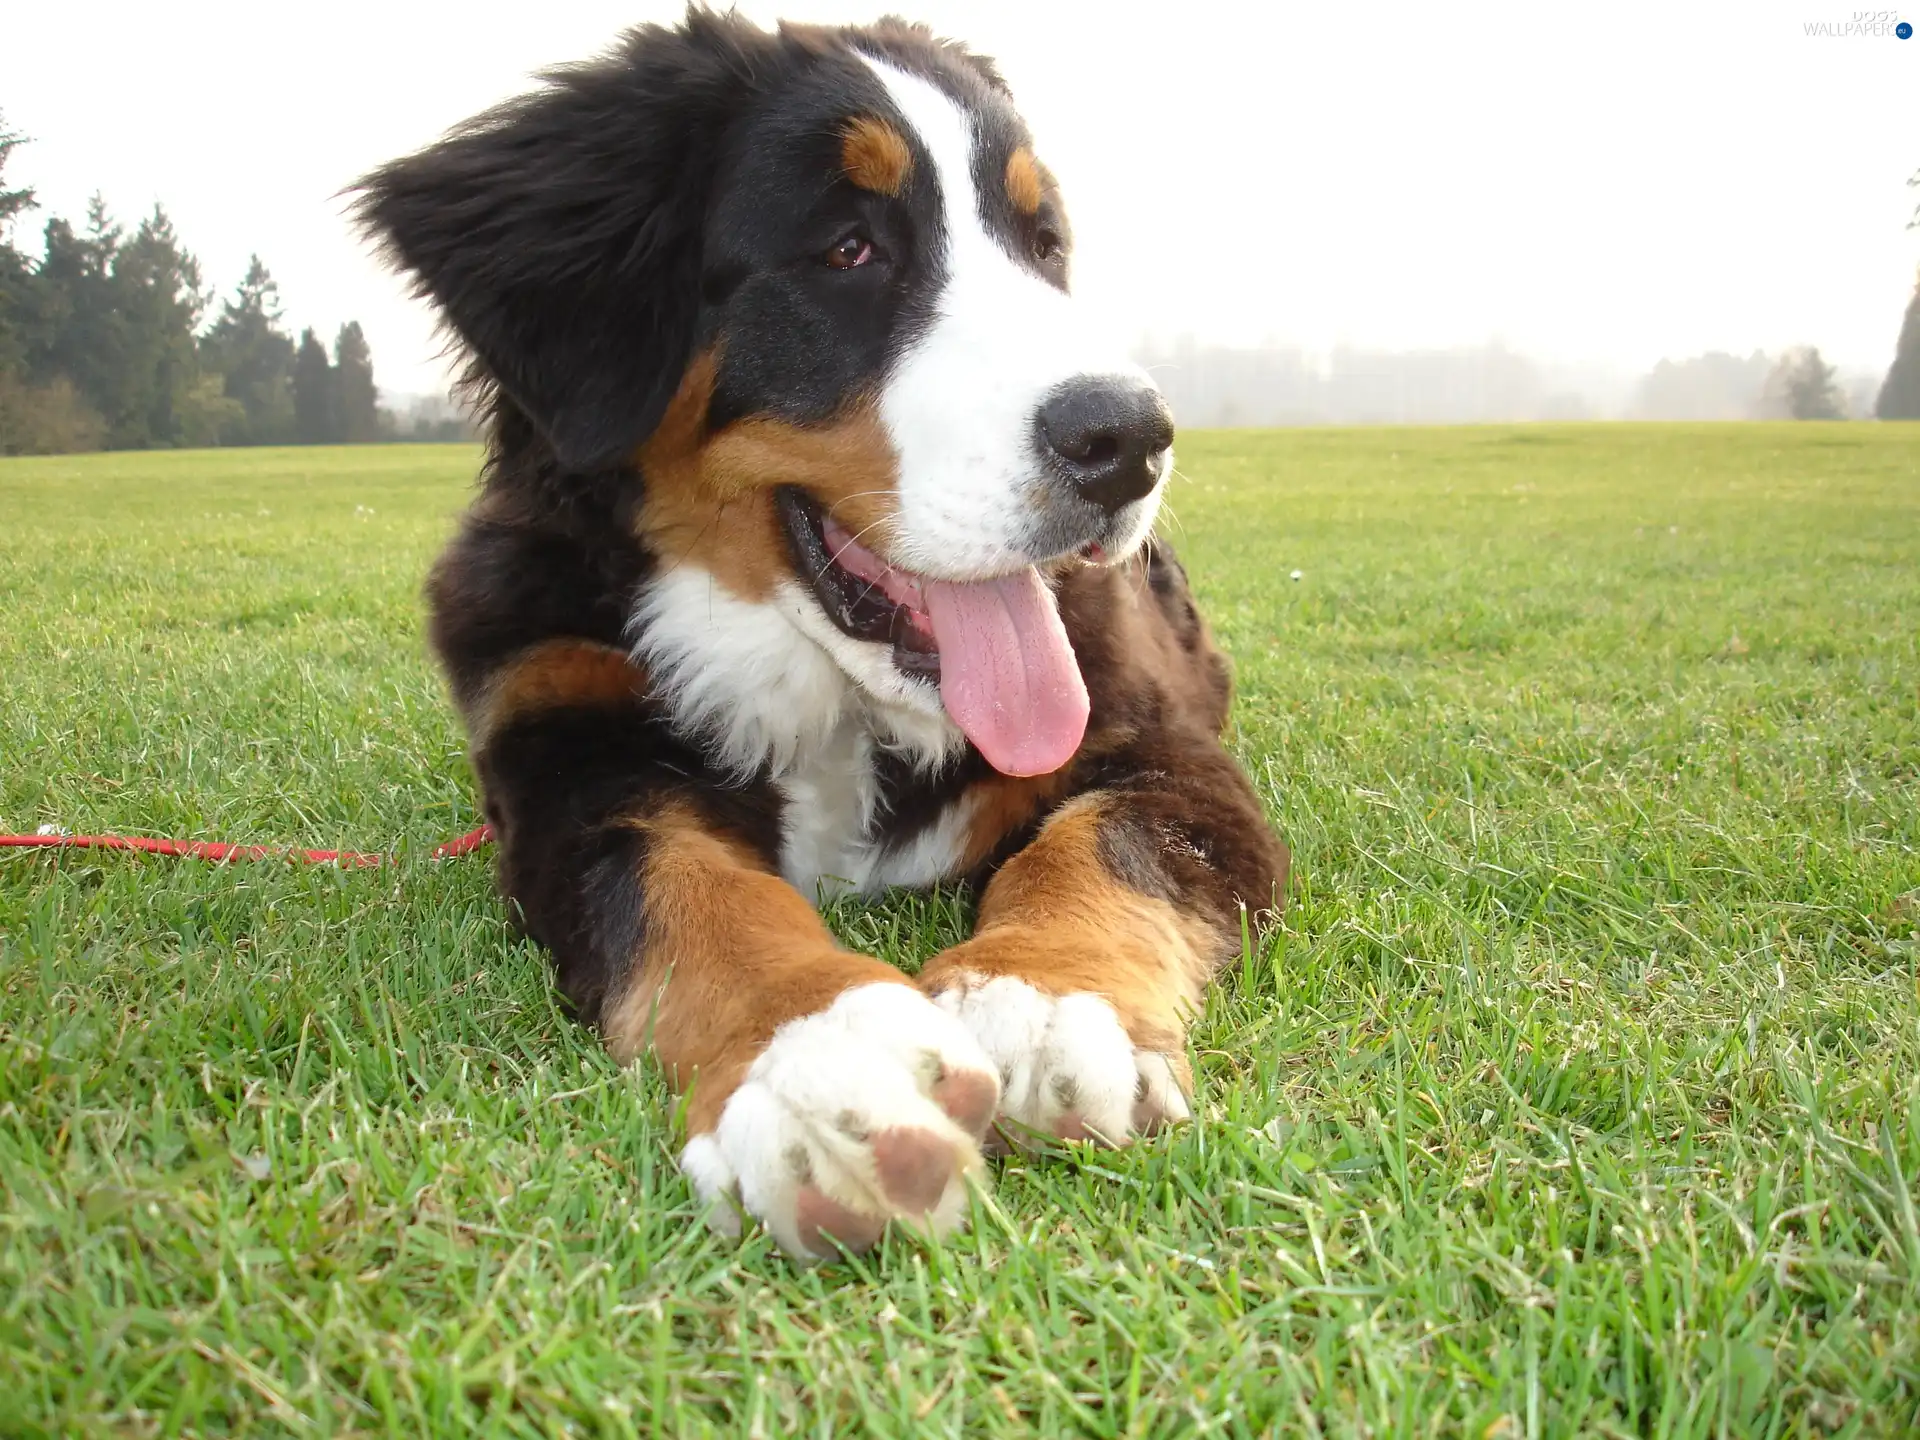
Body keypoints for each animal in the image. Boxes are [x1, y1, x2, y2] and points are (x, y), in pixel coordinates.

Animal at [360, 5, 1290, 1259]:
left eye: (1041, 247)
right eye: (849, 250)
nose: (1129, 439)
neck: (830, 695)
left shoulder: (1159, 742)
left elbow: (1102, 840)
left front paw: (1044, 999)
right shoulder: (567, 752)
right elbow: (693, 890)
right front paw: (820, 1059)